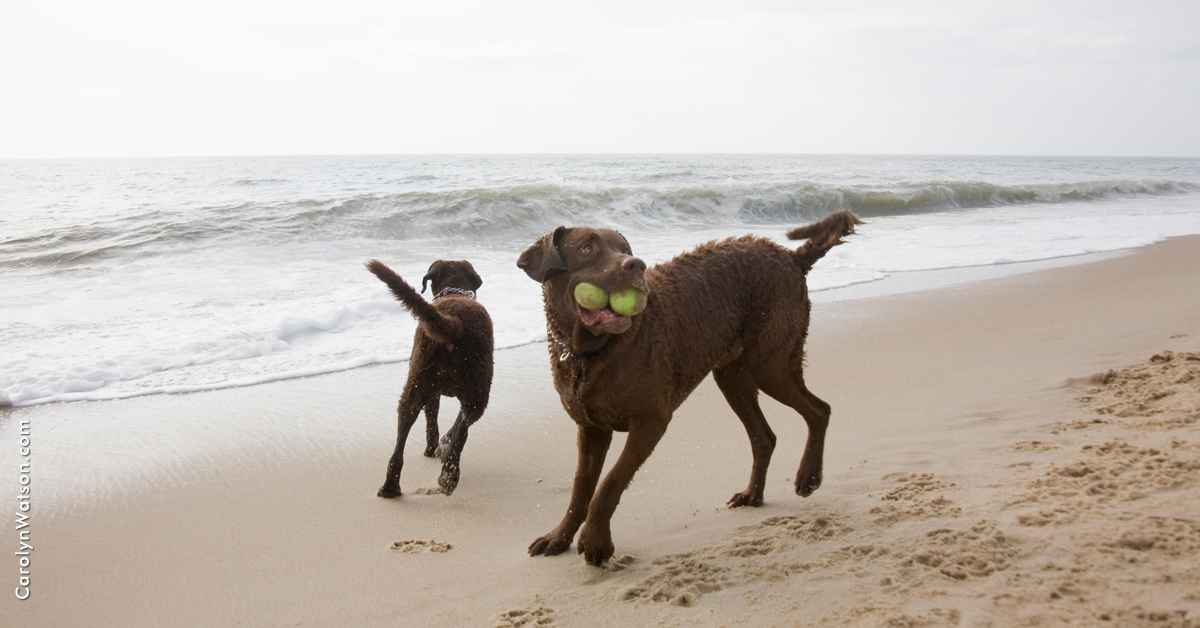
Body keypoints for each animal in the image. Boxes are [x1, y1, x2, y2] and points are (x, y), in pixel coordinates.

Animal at [367, 258, 494, 499]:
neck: (455, 292)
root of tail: (454, 324)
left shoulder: (437, 393)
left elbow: (441, 424)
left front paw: (437, 447)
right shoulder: (436, 393)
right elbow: (446, 425)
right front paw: (438, 446)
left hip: (420, 385)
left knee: (403, 441)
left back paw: (394, 487)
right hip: (474, 392)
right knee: (461, 432)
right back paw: (447, 475)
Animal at [516, 210, 864, 564]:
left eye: (625, 249)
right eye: (587, 248)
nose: (635, 264)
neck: (593, 353)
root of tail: (792, 257)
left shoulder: (652, 421)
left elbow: (610, 483)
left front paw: (596, 542)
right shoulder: (591, 429)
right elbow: (580, 488)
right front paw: (559, 537)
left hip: (770, 362)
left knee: (819, 410)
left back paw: (809, 477)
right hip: (732, 376)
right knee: (764, 437)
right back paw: (753, 494)